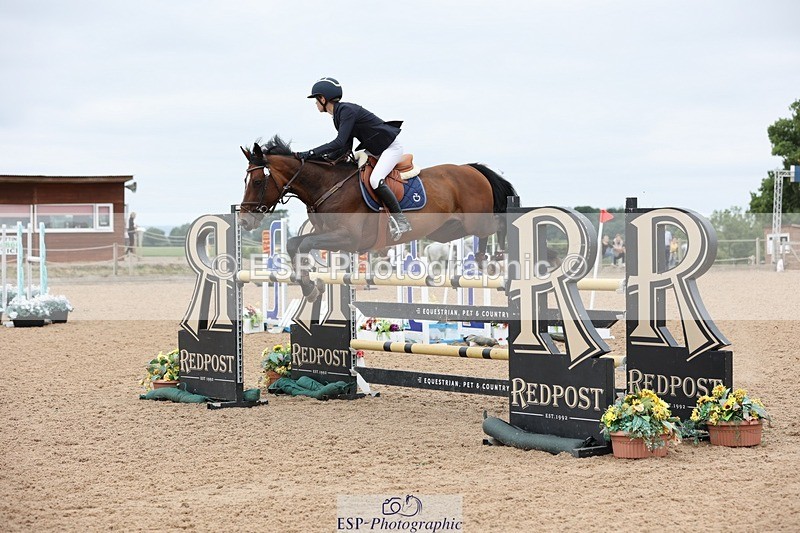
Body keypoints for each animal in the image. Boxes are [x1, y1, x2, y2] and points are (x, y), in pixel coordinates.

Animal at [239, 135, 517, 302]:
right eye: (245, 180)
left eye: (257, 181)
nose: (243, 221)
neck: (328, 185)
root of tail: (473, 169)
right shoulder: (328, 235)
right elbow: (293, 243)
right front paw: (308, 285)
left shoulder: (348, 238)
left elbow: (305, 244)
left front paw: (309, 287)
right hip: (448, 230)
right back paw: (482, 258)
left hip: (475, 220)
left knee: (498, 224)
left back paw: (495, 257)